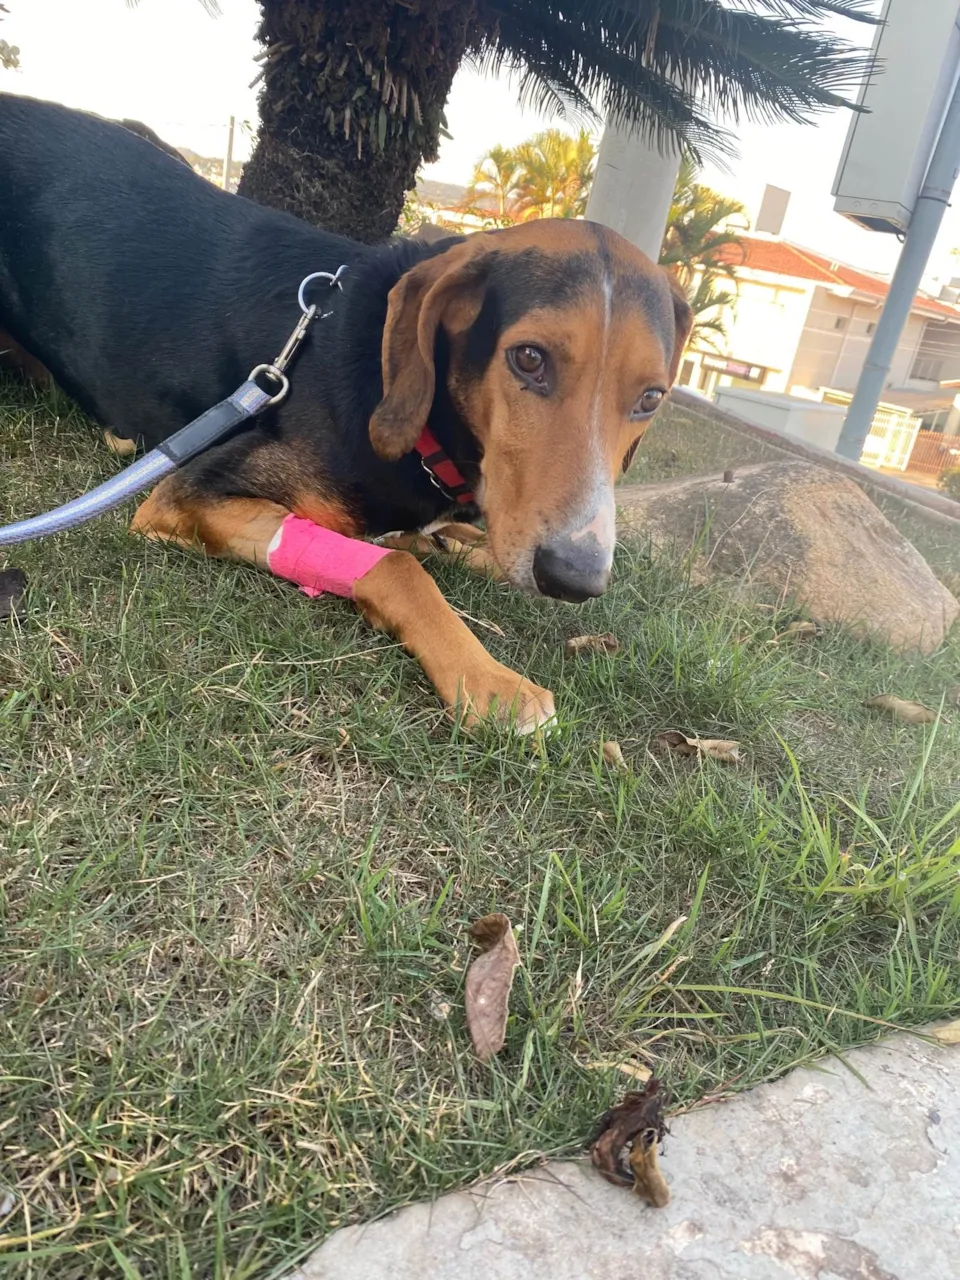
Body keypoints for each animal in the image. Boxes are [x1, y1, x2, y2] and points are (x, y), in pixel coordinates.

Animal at [0, 92, 692, 731]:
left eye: (651, 398)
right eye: (528, 359)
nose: (576, 579)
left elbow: (450, 545)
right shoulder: (192, 493)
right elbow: (397, 565)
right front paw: (489, 678)